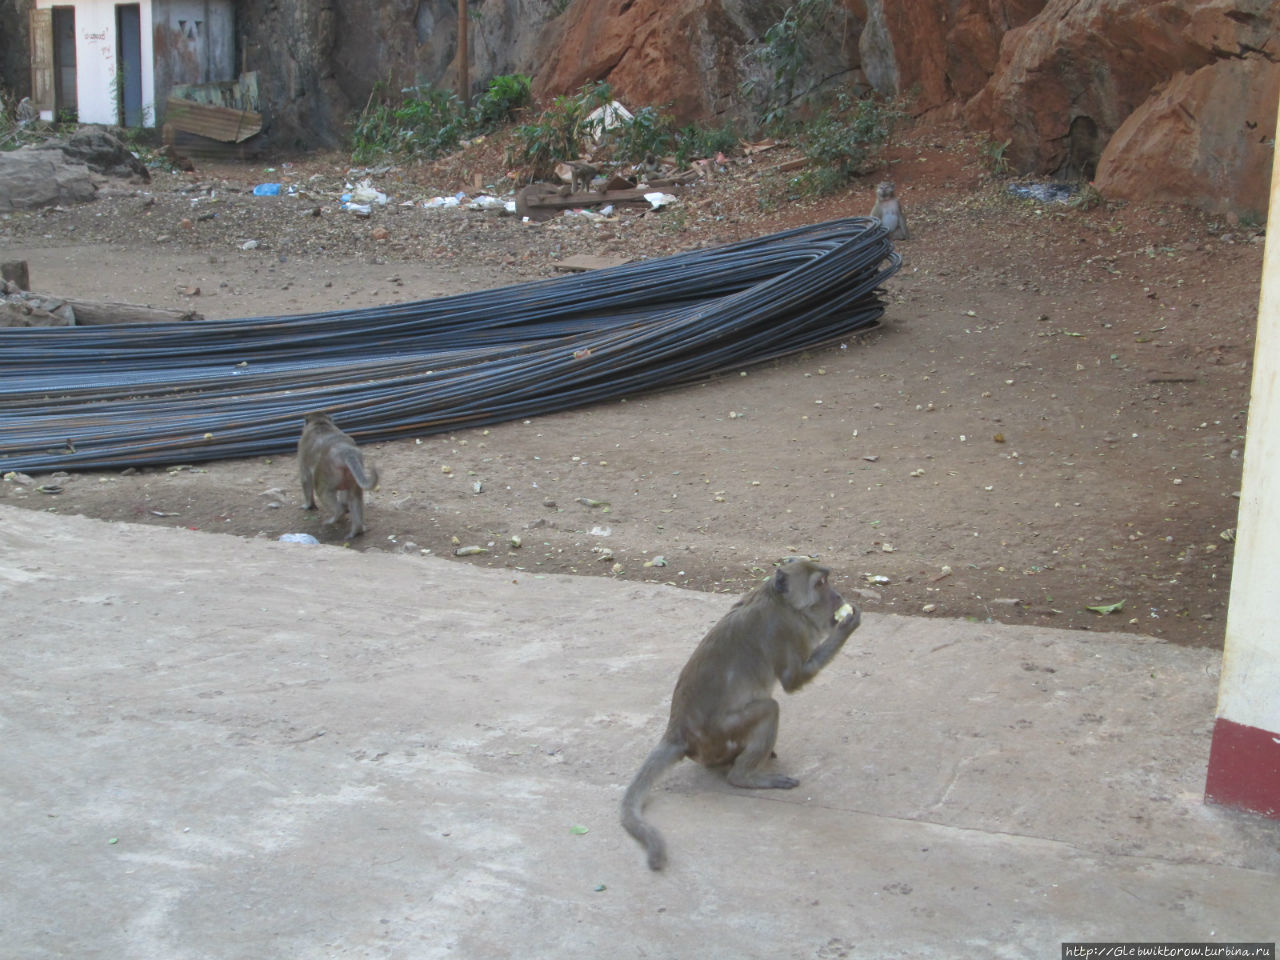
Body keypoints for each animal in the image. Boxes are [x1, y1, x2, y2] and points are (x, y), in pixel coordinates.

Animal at [296, 412, 376, 542]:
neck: (320, 423)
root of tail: (345, 451)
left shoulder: (302, 449)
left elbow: (305, 478)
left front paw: (308, 505)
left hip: (326, 471)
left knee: (323, 491)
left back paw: (336, 516)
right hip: (352, 474)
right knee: (354, 497)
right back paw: (357, 530)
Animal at [619, 560, 860, 875]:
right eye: (820, 584)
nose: (838, 596)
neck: (780, 602)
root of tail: (678, 732)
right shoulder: (785, 630)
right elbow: (792, 681)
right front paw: (847, 626)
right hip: (719, 736)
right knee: (770, 709)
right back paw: (744, 776)